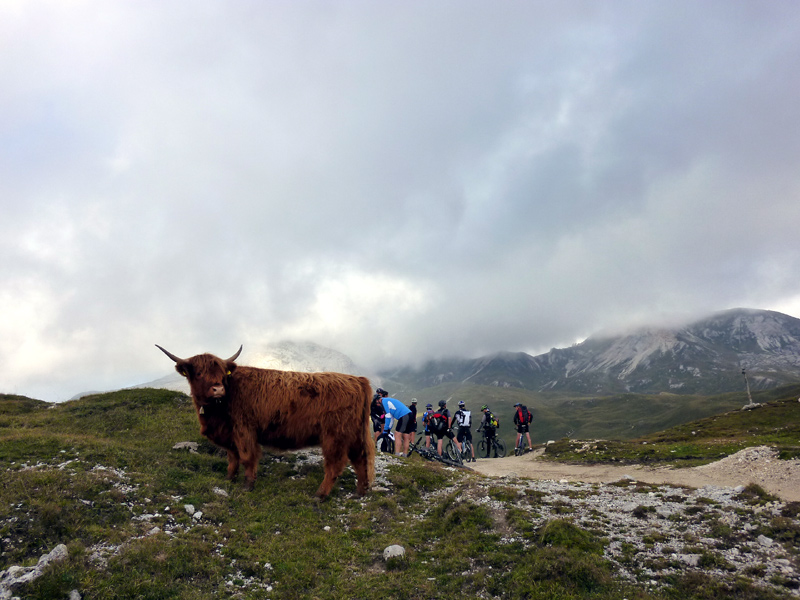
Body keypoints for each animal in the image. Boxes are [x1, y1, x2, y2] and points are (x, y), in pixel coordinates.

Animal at [155, 344, 376, 500]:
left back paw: (320, 495)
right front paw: (229, 479)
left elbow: (246, 457)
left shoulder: (244, 430)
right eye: (199, 373)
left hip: (334, 436)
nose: (218, 389)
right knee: (360, 460)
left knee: (334, 466)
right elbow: (232, 458)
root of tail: (357, 379)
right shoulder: (230, 434)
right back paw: (360, 492)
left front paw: (247, 486)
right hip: (353, 435)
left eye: (221, 374)